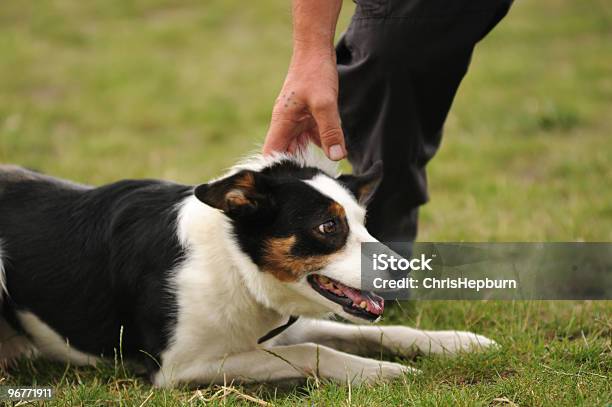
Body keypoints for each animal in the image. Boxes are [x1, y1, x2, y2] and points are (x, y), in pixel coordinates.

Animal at [0, 148, 494, 388]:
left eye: (363, 221)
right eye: (328, 226)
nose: (403, 268)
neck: (236, 265)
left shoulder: (283, 326)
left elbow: (381, 331)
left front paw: (458, 342)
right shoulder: (177, 368)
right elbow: (313, 351)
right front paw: (384, 373)